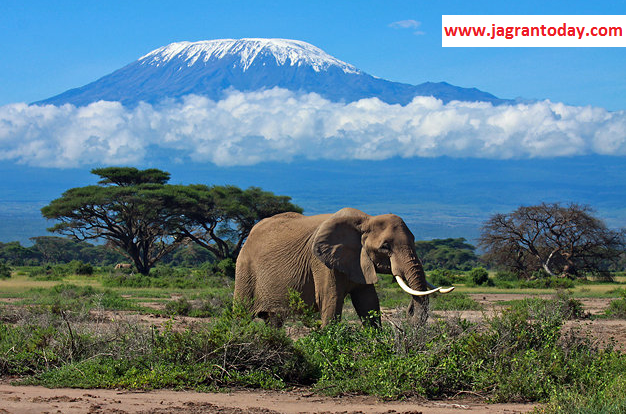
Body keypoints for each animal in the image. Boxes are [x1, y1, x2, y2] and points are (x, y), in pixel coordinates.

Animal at [232, 207, 450, 326]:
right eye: (385, 247)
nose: (409, 311)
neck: (366, 219)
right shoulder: (321, 263)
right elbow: (331, 301)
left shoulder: (359, 262)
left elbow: (368, 303)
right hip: (244, 269)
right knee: (241, 315)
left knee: (273, 320)